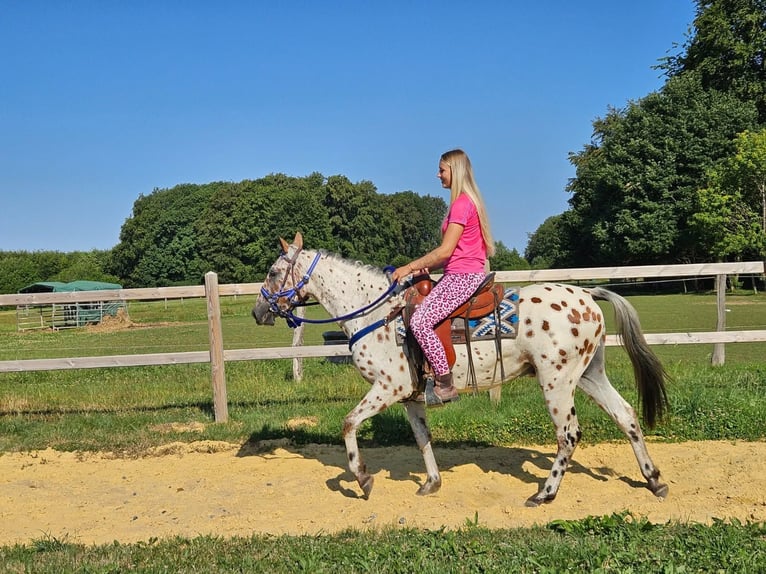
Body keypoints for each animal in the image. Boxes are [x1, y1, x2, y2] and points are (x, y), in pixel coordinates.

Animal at [252, 232, 670, 507]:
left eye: (273, 272)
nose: (258, 312)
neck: (376, 313)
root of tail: (587, 294)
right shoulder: (410, 397)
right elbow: (422, 438)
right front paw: (431, 483)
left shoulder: (387, 387)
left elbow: (349, 424)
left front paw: (363, 479)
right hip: (589, 375)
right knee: (626, 416)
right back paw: (654, 480)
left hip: (558, 381)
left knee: (568, 435)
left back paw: (545, 493)